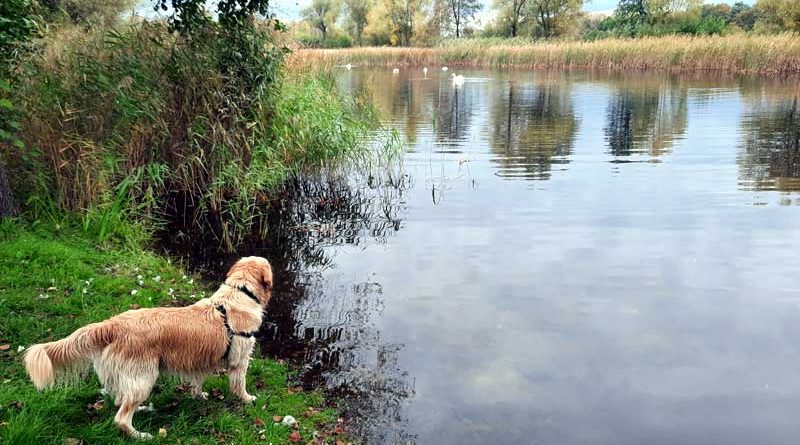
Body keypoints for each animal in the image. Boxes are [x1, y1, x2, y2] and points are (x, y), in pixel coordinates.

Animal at [23, 255, 274, 438]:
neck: (240, 294)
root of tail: (112, 324)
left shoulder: (199, 359)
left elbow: (197, 381)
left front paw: (199, 395)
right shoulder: (239, 359)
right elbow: (239, 384)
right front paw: (247, 399)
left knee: (120, 399)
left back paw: (141, 410)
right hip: (144, 376)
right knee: (121, 418)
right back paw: (140, 435)